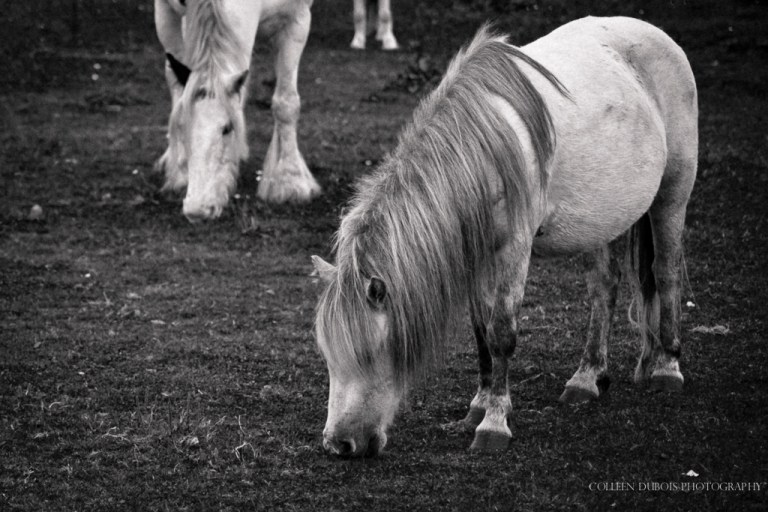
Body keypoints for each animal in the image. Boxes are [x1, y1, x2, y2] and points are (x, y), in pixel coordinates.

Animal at [154, 0, 320, 222]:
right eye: (183, 127)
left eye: (227, 129)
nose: (196, 209)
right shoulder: (165, 11)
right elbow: (179, 93)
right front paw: (180, 172)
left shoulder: (298, 19)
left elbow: (286, 103)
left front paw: (290, 181)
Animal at [312, 16, 698, 456]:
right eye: (327, 355)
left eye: (371, 352)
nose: (340, 444)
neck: (482, 148)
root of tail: (655, 34)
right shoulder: (478, 254)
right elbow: (481, 330)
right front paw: (478, 407)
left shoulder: (515, 248)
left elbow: (501, 332)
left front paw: (494, 422)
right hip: (599, 218)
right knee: (605, 287)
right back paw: (587, 377)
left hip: (673, 194)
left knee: (665, 272)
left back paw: (667, 366)